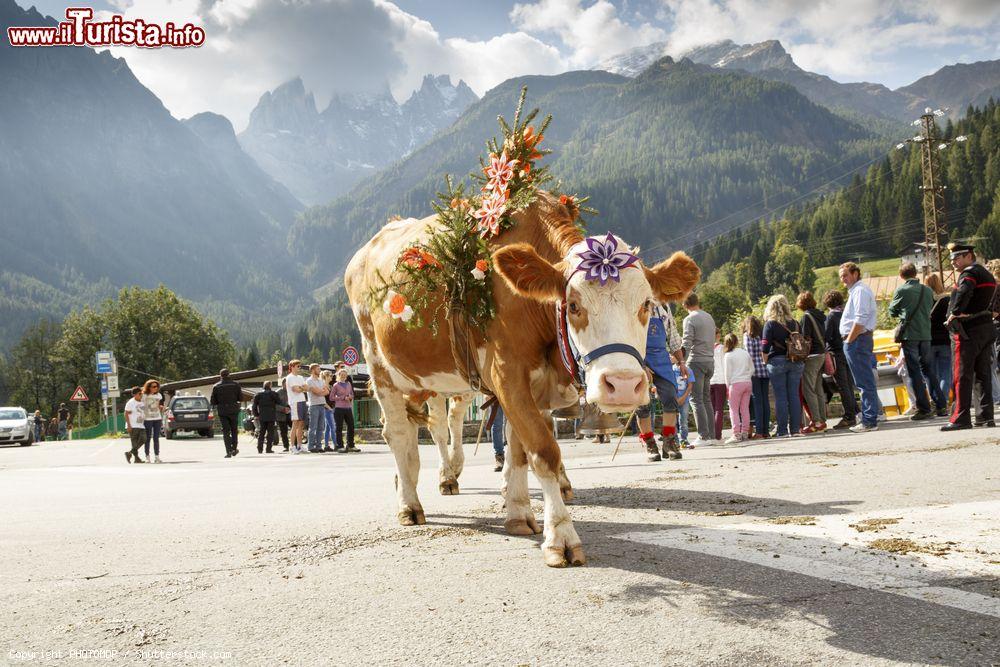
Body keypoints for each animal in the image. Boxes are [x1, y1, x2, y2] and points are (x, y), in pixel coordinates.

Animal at [348, 190, 700, 568]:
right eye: (573, 305)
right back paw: (410, 504)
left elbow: (518, 451)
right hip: (379, 364)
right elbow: (543, 451)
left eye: (647, 304)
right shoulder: (507, 373)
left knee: (438, 425)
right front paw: (561, 536)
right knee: (399, 433)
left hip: (434, 379)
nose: (621, 384)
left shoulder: (528, 386)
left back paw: (427, 479)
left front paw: (518, 513)